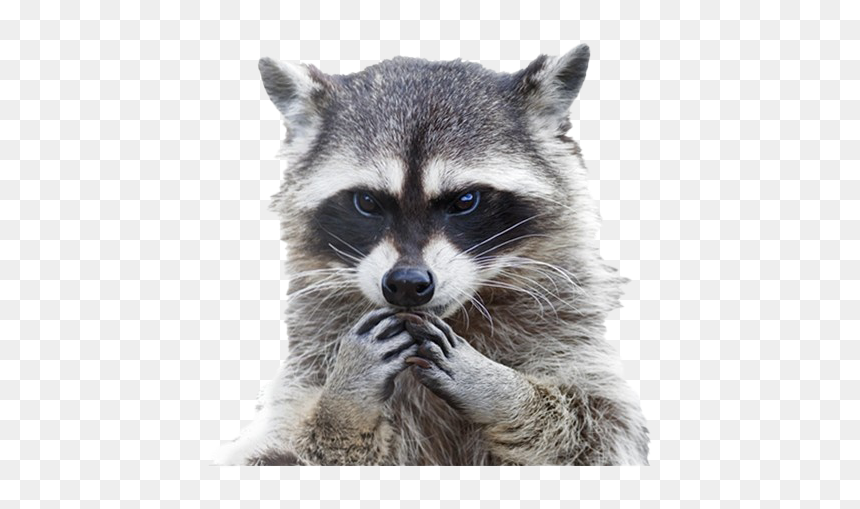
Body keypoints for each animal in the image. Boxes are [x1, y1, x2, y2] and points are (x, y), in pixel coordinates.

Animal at [214, 44, 649, 466]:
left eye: (466, 201)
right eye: (367, 202)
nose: (407, 284)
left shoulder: (566, 323)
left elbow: (599, 428)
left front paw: (502, 391)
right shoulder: (310, 355)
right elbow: (282, 450)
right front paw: (343, 404)